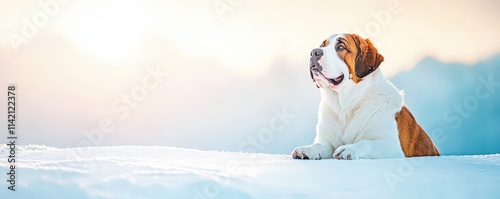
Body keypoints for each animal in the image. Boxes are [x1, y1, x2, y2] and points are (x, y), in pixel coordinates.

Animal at [292, 33, 440, 160]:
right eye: (322, 45)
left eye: (340, 47)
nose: (314, 52)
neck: (346, 105)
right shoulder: (327, 141)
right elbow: (319, 145)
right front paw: (307, 149)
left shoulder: (393, 147)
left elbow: (366, 142)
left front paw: (349, 148)